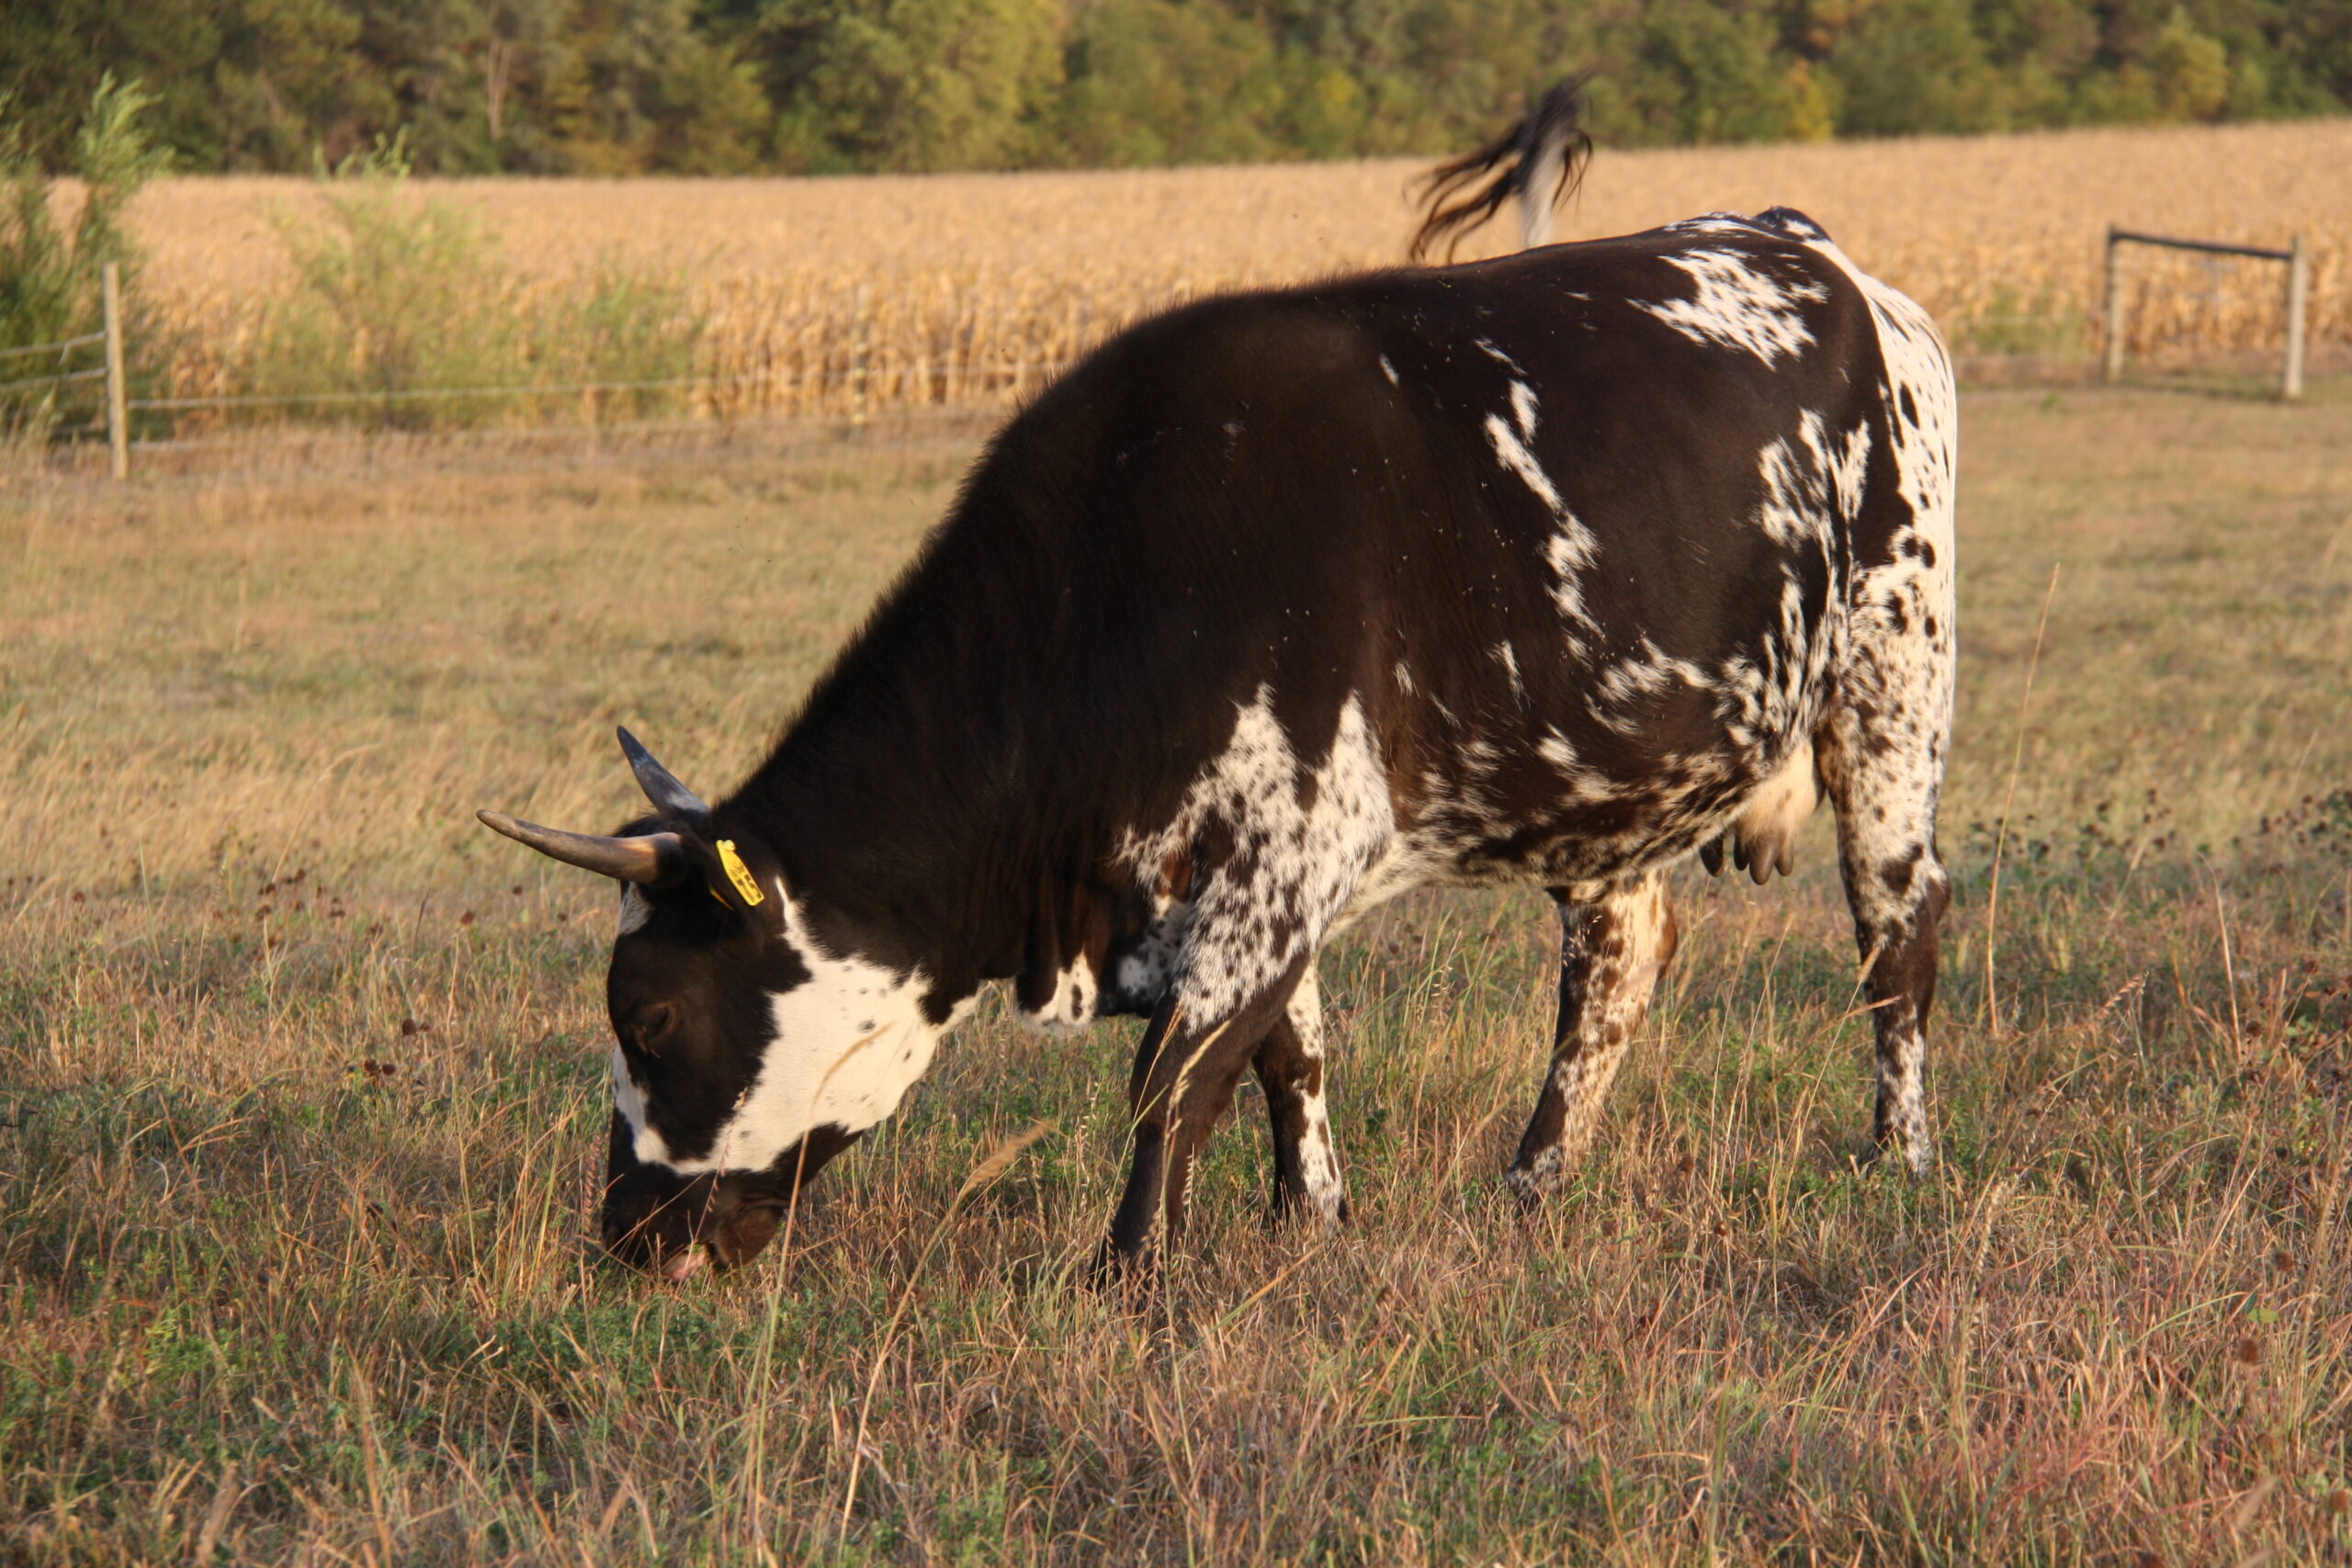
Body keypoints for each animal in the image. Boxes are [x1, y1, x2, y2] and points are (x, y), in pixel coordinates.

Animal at [472, 122, 1947, 1279]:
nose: (623, 1236)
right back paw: (1532, 1184)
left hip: (1893, 687)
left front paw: (1127, 1276)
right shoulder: (1251, 876)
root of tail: (1800, 242)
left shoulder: (1291, 852)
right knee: (1617, 958)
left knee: (1897, 938)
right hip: (1608, 782)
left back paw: (1904, 1162)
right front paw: (1311, 1224)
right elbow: (1286, 1056)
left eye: (649, 1016)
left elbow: (1172, 1082)